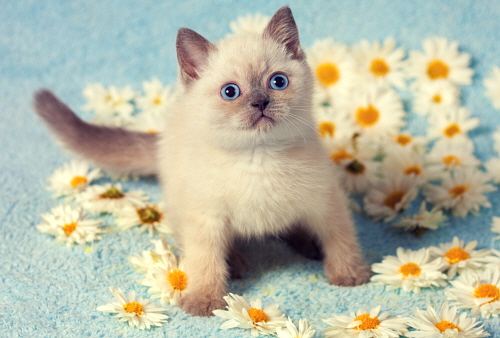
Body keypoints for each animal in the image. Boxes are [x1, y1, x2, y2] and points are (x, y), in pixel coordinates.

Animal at [34, 7, 372, 316]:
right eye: (230, 91)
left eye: (277, 82)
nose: (261, 102)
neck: (259, 156)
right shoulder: (205, 217)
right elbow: (205, 260)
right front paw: (204, 300)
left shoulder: (326, 201)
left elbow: (341, 238)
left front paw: (350, 274)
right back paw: (236, 262)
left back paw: (308, 245)